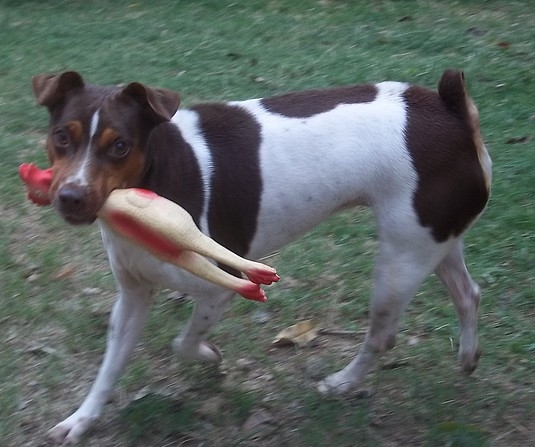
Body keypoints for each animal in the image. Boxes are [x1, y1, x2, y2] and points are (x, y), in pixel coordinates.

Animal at [31, 69, 492, 444]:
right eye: (61, 137)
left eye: (121, 147)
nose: (70, 196)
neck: (151, 183)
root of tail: (449, 110)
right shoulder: (132, 295)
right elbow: (109, 368)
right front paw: (82, 420)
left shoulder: (220, 287)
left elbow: (184, 342)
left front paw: (211, 358)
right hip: (435, 240)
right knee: (468, 293)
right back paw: (468, 357)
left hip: (401, 260)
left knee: (383, 335)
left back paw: (343, 383)